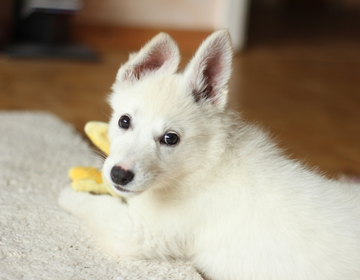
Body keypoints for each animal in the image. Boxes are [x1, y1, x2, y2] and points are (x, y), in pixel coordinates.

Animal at [60, 29, 360, 278]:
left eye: (170, 139)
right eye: (124, 121)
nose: (119, 175)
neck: (204, 162)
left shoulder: (136, 233)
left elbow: (97, 207)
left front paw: (69, 194)